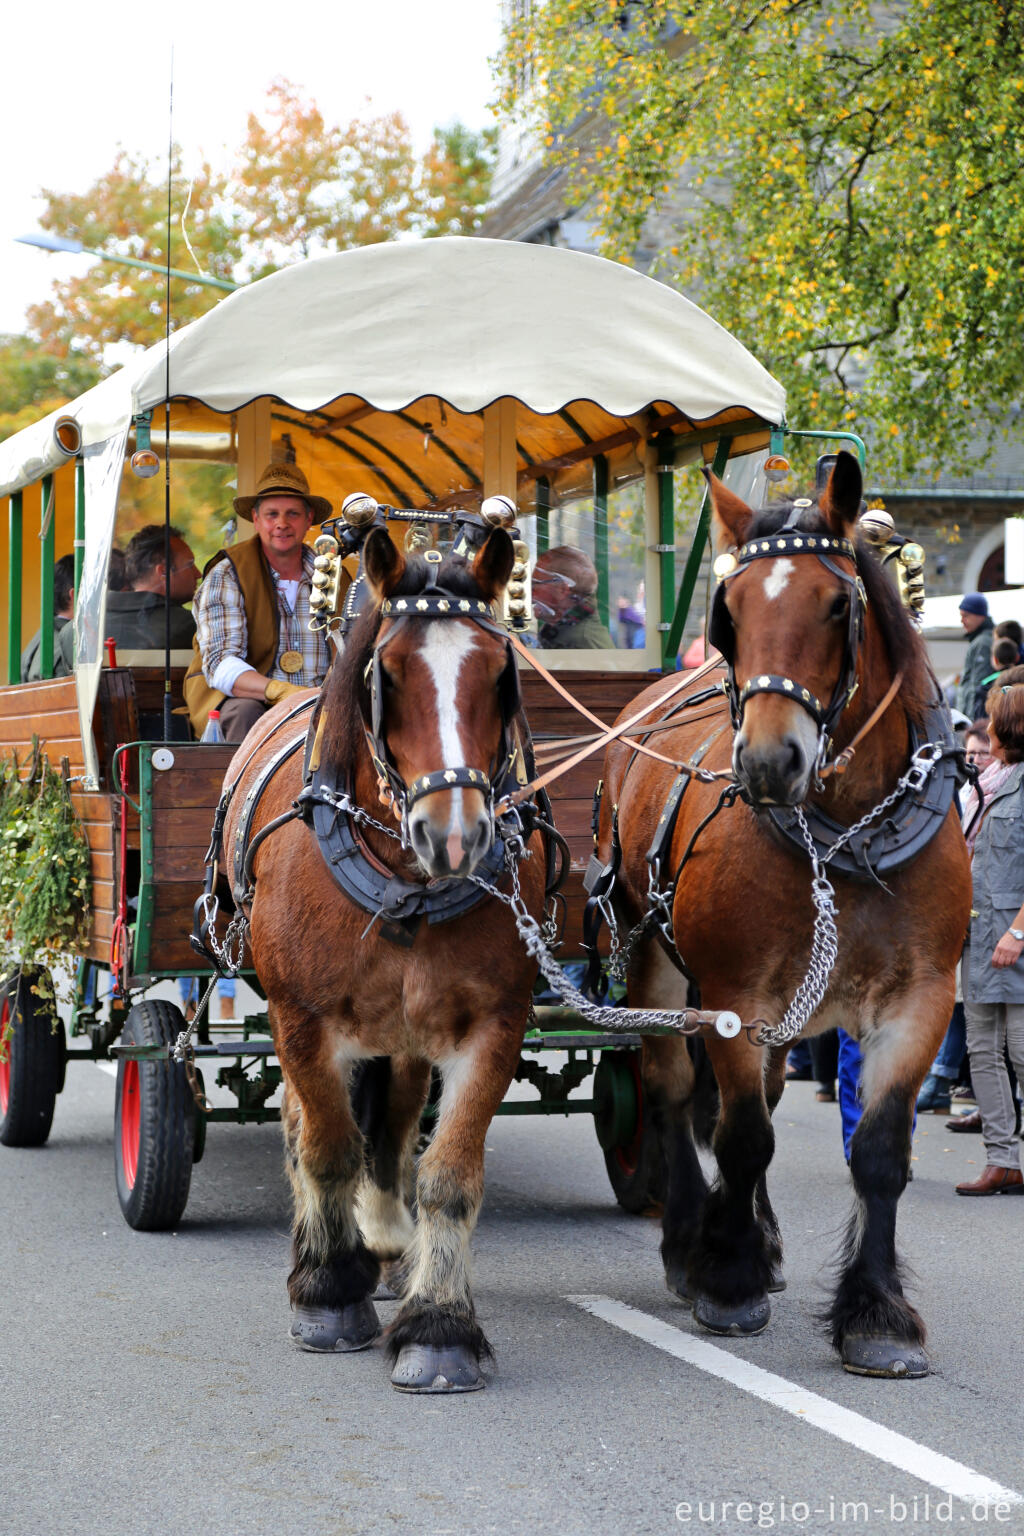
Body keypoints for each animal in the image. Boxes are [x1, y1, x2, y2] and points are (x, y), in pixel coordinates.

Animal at [221, 528, 549, 1394]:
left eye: (499, 673)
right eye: (388, 674)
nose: (455, 837)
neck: (403, 886)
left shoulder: (492, 1023)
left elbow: (448, 1173)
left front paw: (438, 1326)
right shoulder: (301, 1019)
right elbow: (329, 1146)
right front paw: (330, 1292)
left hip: (403, 1032)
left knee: (396, 1126)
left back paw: (390, 1241)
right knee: (305, 1125)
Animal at [595, 448, 976, 1376]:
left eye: (839, 605)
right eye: (728, 612)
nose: (770, 763)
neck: (850, 841)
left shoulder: (921, 1000)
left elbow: (878, 1151)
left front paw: (876, 1314)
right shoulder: (737, 997)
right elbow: (741, 1137)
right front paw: (726, 1280)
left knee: (761, 1095)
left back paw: (758, 1237)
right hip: (651, 957)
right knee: (670, 1091)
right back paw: (691, 1241)